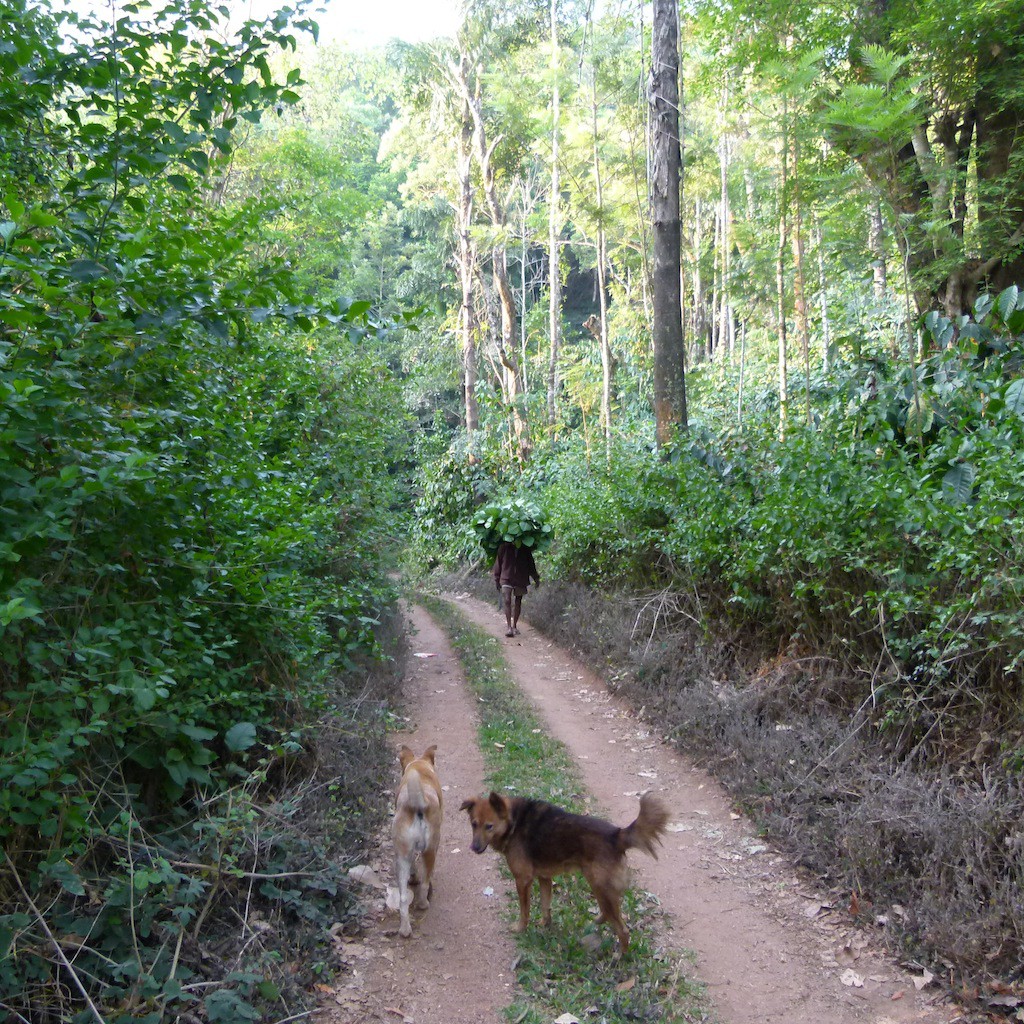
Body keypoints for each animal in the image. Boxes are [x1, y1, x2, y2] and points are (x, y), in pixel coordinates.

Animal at [389, 745, 442, 937]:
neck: (419, 766)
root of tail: (416, 806)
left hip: (401, 857)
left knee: (403, 898)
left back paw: (405, 930)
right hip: (430, 850)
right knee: (425, 883)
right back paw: (423, 904)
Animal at [460, 790, 667, 950]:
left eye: (489, 826)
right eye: (473, 824)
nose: (474, 848)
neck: (514, 823)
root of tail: (616, 835)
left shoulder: (523, 880)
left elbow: (525, 910)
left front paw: (520, 929)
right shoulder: (544, 877)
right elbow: (545, 906)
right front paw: (544, 924)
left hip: (599, 885)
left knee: (623, 930)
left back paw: (619, 957)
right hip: (600, 886)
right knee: (609, 911)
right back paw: (600, 921)